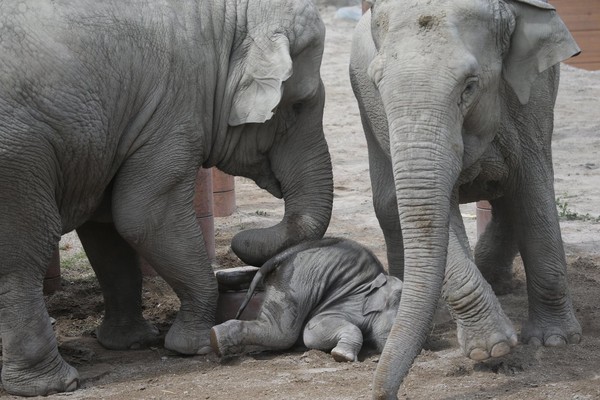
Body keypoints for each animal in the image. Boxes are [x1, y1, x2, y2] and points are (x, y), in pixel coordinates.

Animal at [0, 0, 332, 394]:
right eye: (297, 105)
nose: (241, 238)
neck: (229, 17)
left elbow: (109, 229)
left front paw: (132, 343)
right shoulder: (175, 108)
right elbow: (145, 217)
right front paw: (198, 345)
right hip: (17, 158)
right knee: (22, 256)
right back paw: (54, 384)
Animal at [210, 238, 404, 362]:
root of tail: (282, 255)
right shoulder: (351, 301)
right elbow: (312, 330)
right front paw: (342, 356)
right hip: (296, 280)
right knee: (282, 334)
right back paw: (215, 339)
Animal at [352, 0, 580, 396]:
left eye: (470, 86)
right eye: (378, 85)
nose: (385, 394)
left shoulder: (532, 100)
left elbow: (533, 191)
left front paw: (554, 340)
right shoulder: (378, 115)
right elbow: (436, 213)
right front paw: (493, 349)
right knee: (388, 206)